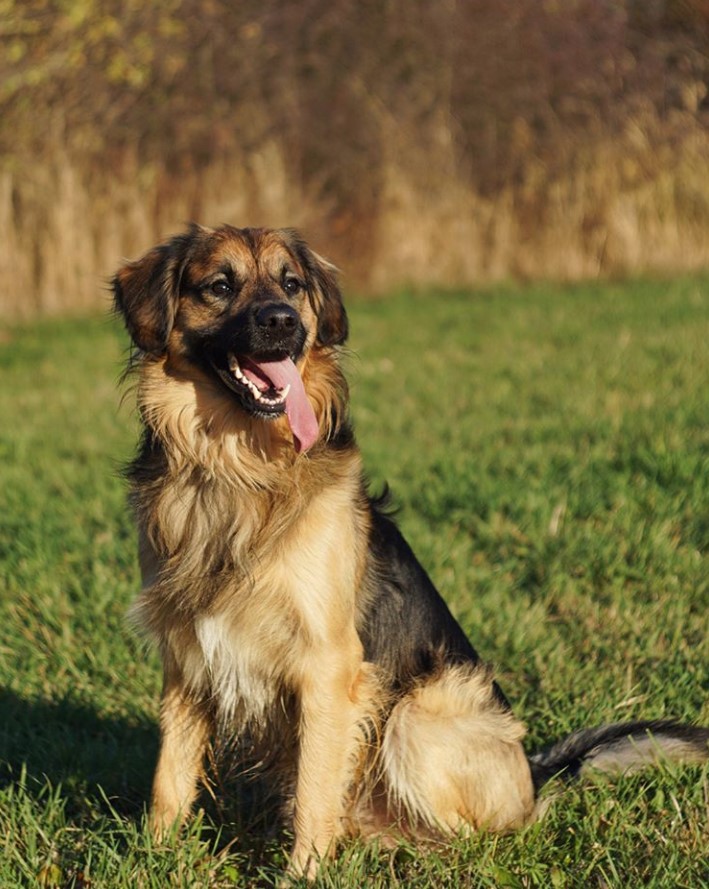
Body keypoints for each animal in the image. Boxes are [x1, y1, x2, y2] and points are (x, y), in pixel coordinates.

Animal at [113, 225, 704, 876]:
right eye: (220, 286)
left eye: (291, 284)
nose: (284, 323)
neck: (239, 469)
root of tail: (535, 773)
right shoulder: (186, 655)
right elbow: (170, 777)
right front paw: (155, 857)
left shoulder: (329, 667)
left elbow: (314, 791)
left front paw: (303, 875)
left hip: (417, 711)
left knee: (489, 832)